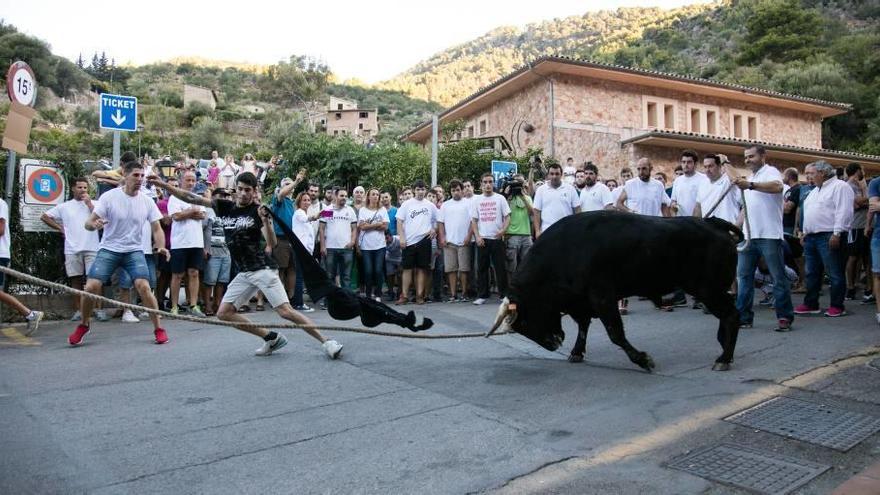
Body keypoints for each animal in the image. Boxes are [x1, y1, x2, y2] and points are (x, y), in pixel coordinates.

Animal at [488, 212, 744, 372]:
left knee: (732, 315)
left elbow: (615, 333)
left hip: (708, 289)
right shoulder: (581, 302)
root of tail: (712, 223)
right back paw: (724, 349)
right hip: (712, 290)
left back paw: (723, 358)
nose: (553, 344)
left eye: (525, 320)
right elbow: (583, 327)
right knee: (728, 315)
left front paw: (643, 360)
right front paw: (576, 352)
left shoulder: (603, 298)